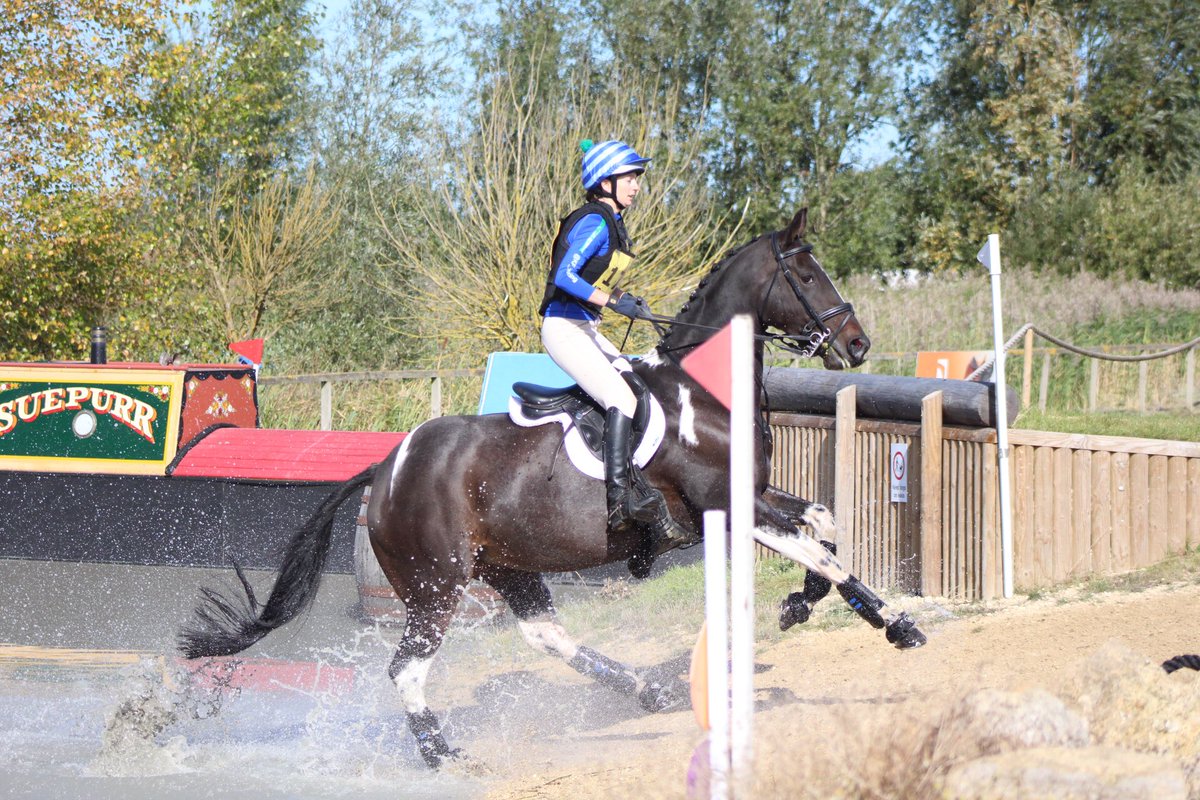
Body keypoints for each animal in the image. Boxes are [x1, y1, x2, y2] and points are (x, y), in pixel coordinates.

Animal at [179, 207, 927, 769]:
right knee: (407, 669)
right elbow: (820, 547)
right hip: (435, 585)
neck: (702, 391)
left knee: (545, 635)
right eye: (803, 272)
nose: (857, 345)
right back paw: (441, 753)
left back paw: (644, 691)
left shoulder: (753, 496)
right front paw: (894, 622)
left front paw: (808, 603)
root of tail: (385, 468)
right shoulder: (724, 508)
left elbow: (824, 523)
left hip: (506, 565)